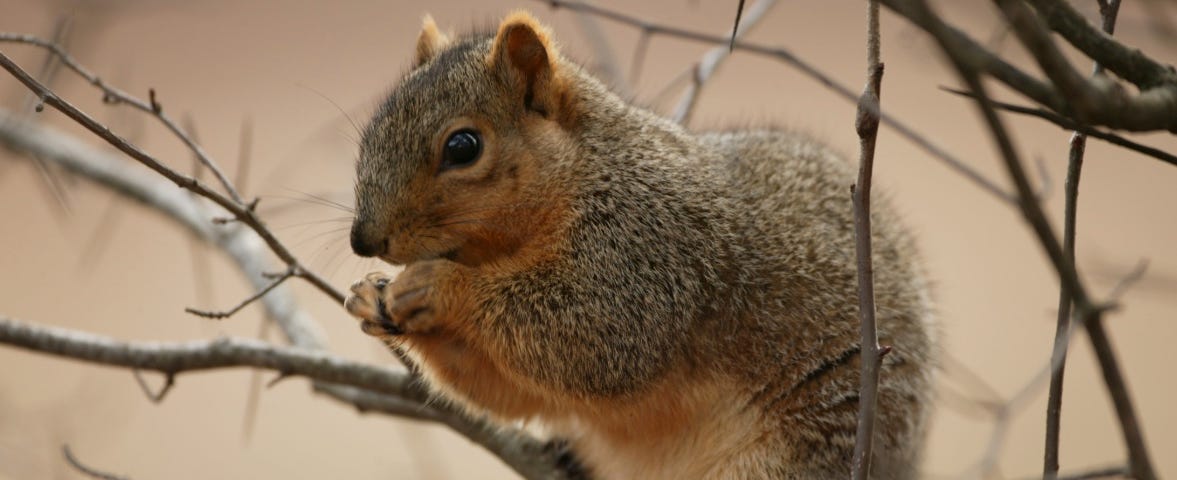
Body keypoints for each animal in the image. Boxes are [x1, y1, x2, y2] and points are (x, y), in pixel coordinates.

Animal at [343, 11, 936, 480]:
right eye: (372, 129)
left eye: (463, 147)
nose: (362, 238)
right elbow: (513, 392)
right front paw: (373, 300)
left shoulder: (648, 251)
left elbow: (591, 339)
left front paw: (439, 287)